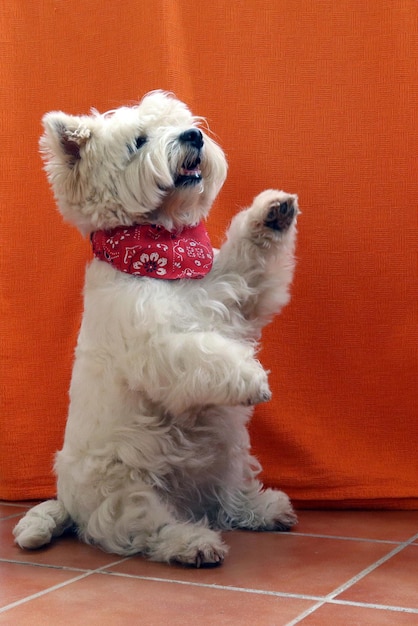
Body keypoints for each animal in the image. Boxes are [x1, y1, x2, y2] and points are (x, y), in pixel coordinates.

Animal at [14, 89, 298, 564]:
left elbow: (250, 264)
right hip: (126, 488)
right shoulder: (155, 345)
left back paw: (263, 509)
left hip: (229, 456)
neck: (161, 251)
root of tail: (68, 500)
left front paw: (273, 212)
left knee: (226, 500)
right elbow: (200, 354)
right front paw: (252, 379)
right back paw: (193, 543)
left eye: (180, 122)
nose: (193, 136)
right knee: (142, 529)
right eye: (139, 141)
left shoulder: (231, 292)